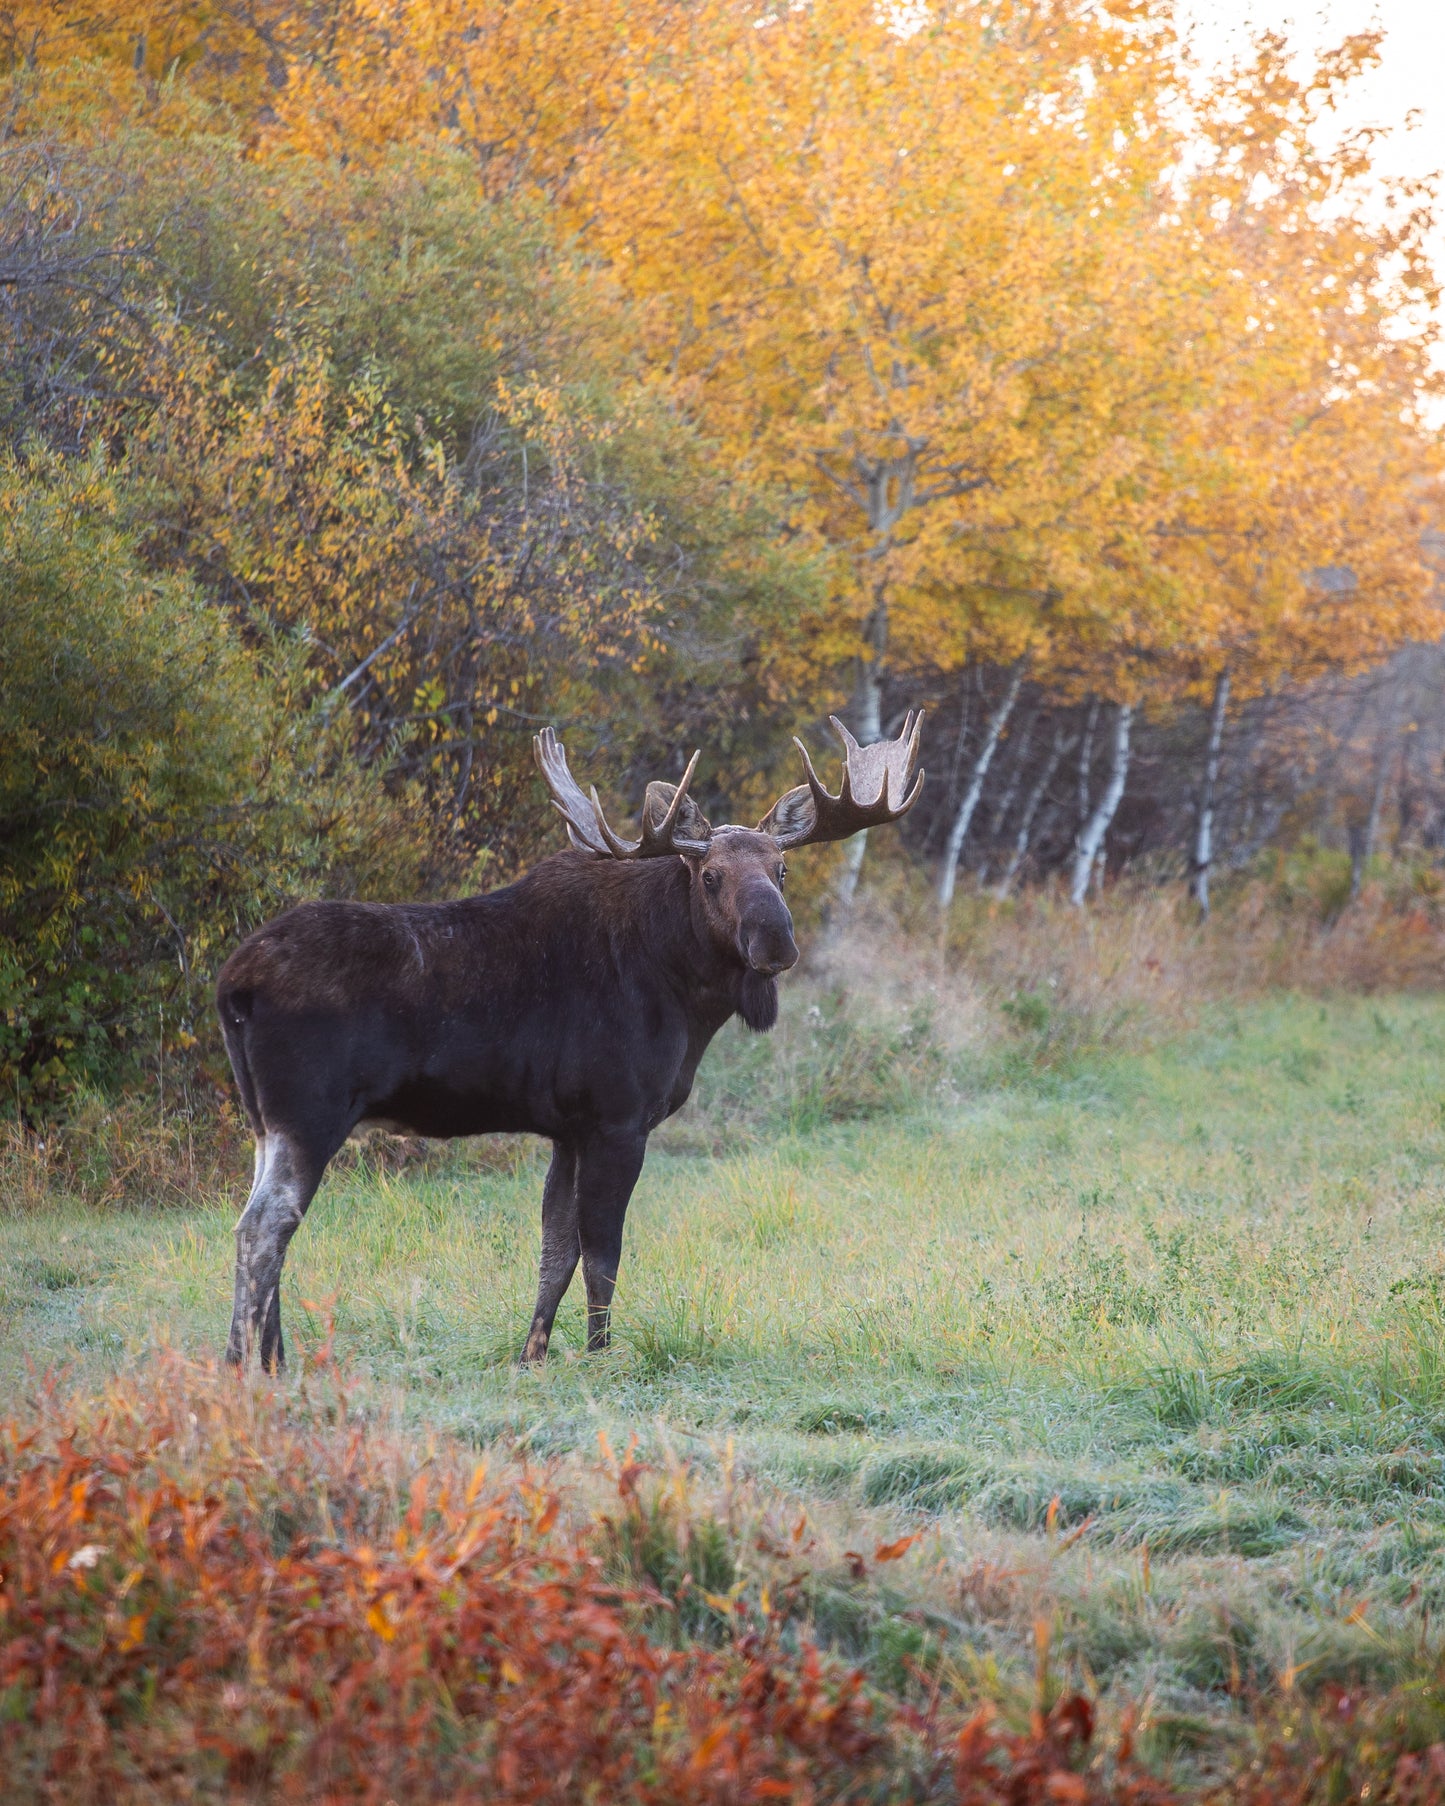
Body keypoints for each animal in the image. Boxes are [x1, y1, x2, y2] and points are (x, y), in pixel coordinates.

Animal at [215, 713, 924, 1371]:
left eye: (782, 867)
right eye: (710, 876)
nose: (775, 940)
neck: (683, 992)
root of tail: (232, 983)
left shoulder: (567, 1129)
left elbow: (555, 1253)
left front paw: (533, 1355)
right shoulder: (616, 1120)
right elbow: (602, 1254)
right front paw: (599, 1355)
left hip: (264, 1122)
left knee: (257, 1224)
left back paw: (266, 1360)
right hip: (310, 1114)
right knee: (264, 1229)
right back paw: (252, 1366)